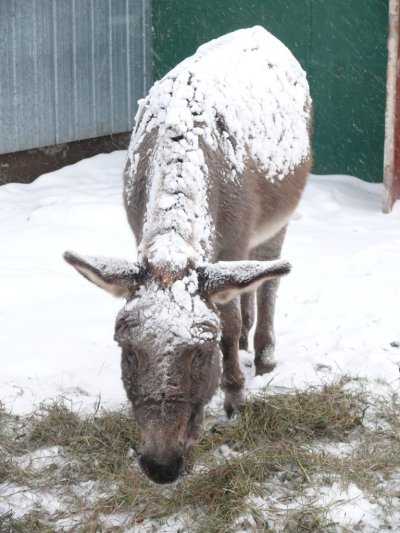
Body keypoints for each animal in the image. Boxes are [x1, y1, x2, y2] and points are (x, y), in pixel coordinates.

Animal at [64, 26, 311, 484]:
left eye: (200, 351)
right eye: (128, 349)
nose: (161, 465)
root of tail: (262, 30)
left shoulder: (233, 240)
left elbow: (229, 323)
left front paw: (235, 398)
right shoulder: (141, 230)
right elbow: (234, 304)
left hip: (279, 217)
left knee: (270, 278)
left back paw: (265, 355)